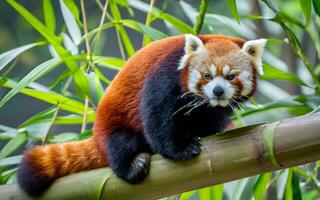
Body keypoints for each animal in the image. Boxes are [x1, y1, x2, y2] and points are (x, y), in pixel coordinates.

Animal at [16, 34, 266, 195]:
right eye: (207, 75)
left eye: (231, 77)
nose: (217, 91)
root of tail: (97, 132)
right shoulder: (165, 74)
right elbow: (157, 118)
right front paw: (180, 149)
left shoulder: (211, 109)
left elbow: (212, 119)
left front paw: (211, 131)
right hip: (114, 125)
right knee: (120, 145)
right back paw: (131, 165)